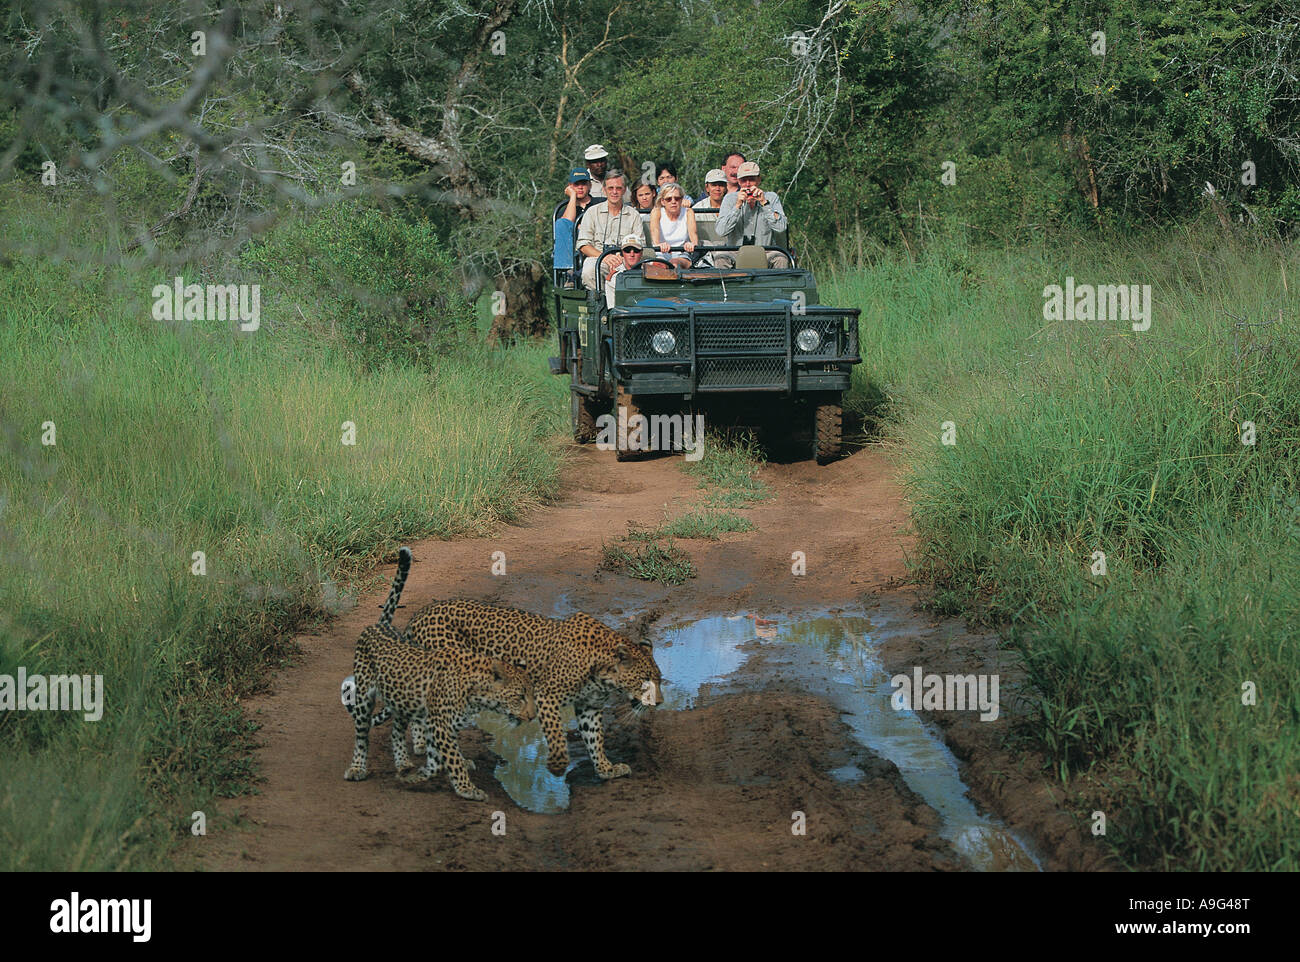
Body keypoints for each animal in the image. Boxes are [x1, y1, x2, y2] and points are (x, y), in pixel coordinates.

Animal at [343, 546, 535, 800]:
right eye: (519, 697)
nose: (532, 717)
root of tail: (379, 625)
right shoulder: (441, 725)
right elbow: (452, 759)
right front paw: (468, 789)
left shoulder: (439, 724)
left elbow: (440, 759)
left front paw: (419, 776)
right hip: (365, 698)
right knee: (362, 735)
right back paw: (357, 768)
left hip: (403, 699)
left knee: (396, 732)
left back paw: (404, 765)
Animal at [397, 600, 665, 780]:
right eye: (645, 681)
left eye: (660, 680)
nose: (660, 703)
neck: (603, 670)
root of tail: (418, 615)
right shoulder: (547, 695)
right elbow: (556, 735)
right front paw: (558, 766)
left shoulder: (589, 705)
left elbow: (594, 739)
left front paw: (606, 769)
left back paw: (421, 747)